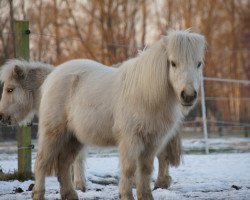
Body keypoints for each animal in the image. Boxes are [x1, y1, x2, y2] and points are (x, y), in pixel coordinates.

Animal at [32, 30, 206, 200]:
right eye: (173, 63)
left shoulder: (153, 142)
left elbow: (146, 169)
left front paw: (145, 195)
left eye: (198, 64)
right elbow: (129, 168)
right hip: (53, 134)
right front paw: (126, 195)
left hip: (73, 138)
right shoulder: (130, 139)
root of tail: (52, 76)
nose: (188, 96)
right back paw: (38, 194)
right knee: (42, 162)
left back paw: (70, 194)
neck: (146, 94)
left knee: (64, 163)